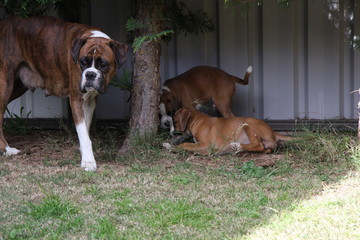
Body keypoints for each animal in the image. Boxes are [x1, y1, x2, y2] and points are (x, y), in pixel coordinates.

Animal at [0, 15, 129, 171]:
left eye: (103, 64)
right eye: (82, 62)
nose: (90, 74)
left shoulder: (90, 101)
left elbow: (85, 128)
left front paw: (84, 152)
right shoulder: (76, 99)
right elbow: (83, 133)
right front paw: (88, 161)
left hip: (17, 87)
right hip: (5, 84)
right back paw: (6, 149)